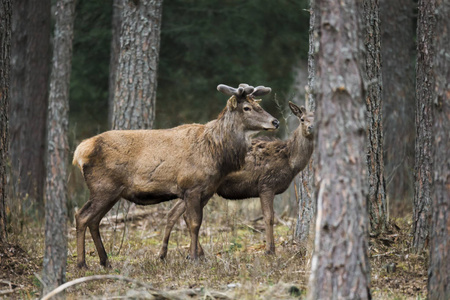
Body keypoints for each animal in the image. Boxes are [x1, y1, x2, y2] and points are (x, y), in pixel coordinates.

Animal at [72, 84, 280, 268]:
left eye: (259, 105)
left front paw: (194, 256)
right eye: (246, 107)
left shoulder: (206, 191)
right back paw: (82, 264)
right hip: (103, 187)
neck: (215, 152)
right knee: (82, 216)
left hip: (111, 193)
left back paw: (105, 261)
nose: (275, 122)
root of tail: (80, 152)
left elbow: (190, 221)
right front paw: (194, 258)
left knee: (94, 220)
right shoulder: (192, 187)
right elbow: (195, 223)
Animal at [160, 102, 314, 258]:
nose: (311, 127)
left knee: (176, 213)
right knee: (184, 215)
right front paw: (269, 250)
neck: (290, 161)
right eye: (302, 119)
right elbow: (269, 217)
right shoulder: (266, 184)